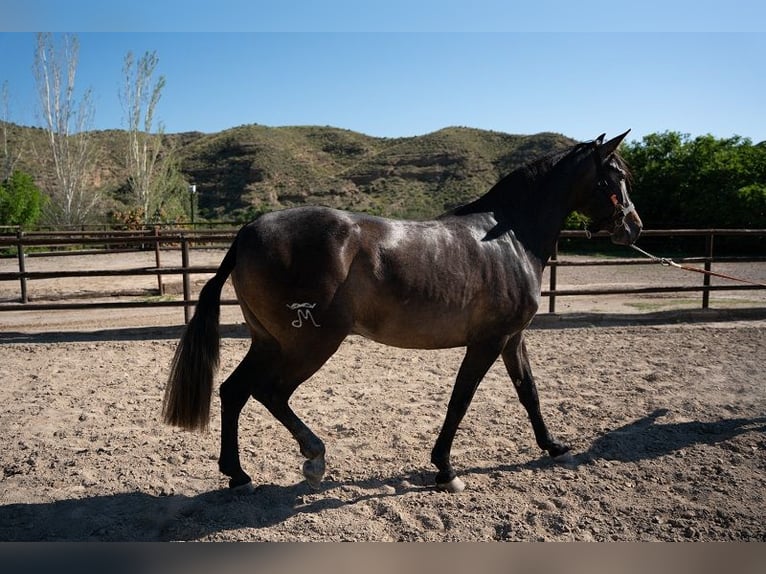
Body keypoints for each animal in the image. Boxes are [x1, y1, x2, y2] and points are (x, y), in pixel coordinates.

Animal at [165, 132, 644, 496]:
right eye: (616, 176)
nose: (634, 226)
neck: (509, 239)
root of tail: (248, 231)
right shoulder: (487, 342)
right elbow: (461, 400)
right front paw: (445, 470)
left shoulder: (512, 339)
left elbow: (529, 393)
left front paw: (554, 446)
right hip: (310, 344)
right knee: (270, 392)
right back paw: (313, 458)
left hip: (269, 342)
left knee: (234, 391)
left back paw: (238, 475)